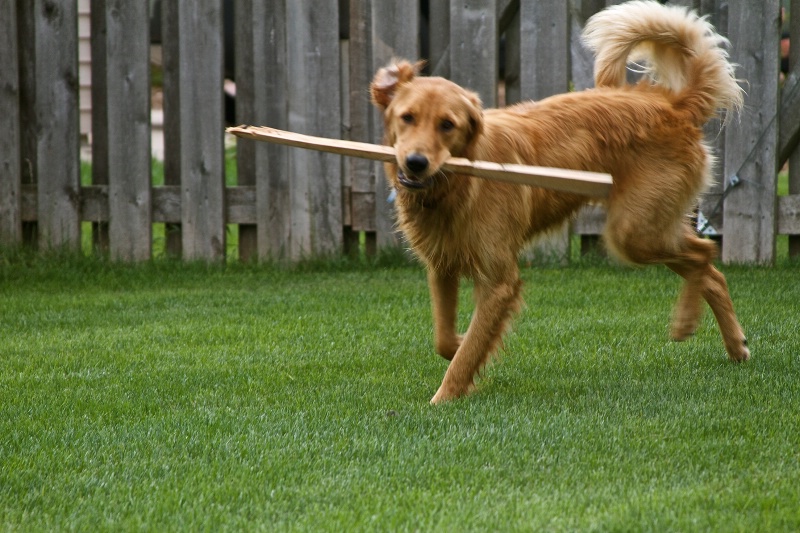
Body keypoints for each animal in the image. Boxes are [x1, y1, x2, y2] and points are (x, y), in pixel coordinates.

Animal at [368, 1, 752, 404]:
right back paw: (735, 347)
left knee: (704, 254)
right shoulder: (441, 266)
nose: (415, 163)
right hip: (651, 229)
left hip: (634, 233)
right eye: (407, 117)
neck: (457, 184)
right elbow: (446, 339)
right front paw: (461, 344)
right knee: (710, 271)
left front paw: (445, 397)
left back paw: (686, 323)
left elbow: (466, 354)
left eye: (447, 125)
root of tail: (674, 103)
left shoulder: (499, 280)